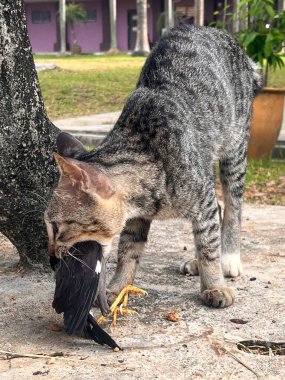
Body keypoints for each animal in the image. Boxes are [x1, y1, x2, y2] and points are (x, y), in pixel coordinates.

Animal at [44, 25, 260, 308]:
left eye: (58, 227)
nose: (51, 259)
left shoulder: (202, 197)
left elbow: (208, 244)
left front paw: (214, 284)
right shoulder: (137, 219)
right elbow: (128, 251)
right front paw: (118, 286)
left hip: (234, 149)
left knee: (233, 206)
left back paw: (229, 259)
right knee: (220, 209)